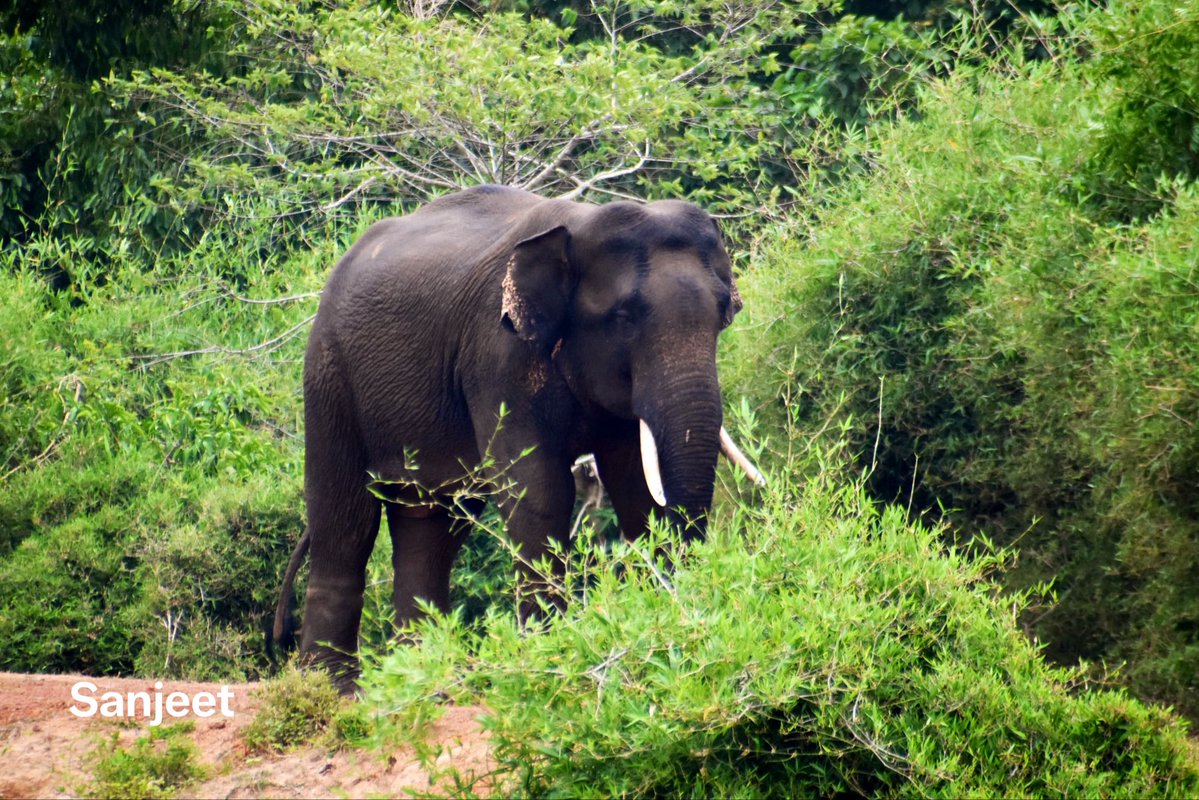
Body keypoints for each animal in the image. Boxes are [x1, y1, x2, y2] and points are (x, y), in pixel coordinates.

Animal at [271, 184, 762, 688]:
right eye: (624, 317)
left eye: (723, 313)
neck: (580, 225)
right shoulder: (497, 355)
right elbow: (537, 489)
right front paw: (553, 652)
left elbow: (636, 488)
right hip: (328, 374)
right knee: (344, 517)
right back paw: (331, 688)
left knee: (433, 524)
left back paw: (423, 678)